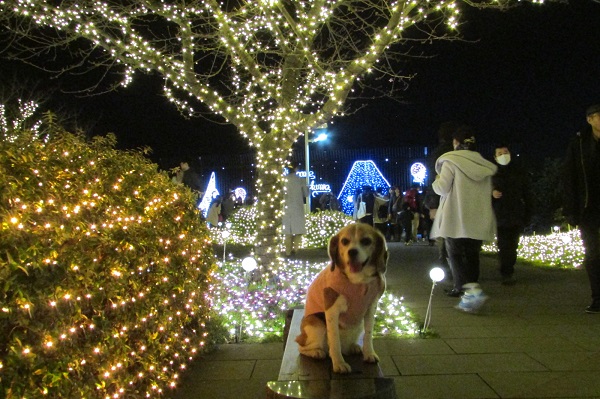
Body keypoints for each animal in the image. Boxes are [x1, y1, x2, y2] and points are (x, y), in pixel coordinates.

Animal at [296, 223, 390, 374]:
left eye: (366, 241)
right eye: (344, 241)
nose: (352, 252)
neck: (359, 281)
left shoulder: (371, 308)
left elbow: (368, 335)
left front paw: (369, 353)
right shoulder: (332, 311)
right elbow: (334, 340)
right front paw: (339, 363)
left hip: (358, 325)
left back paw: (353, 347)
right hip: (317, 325)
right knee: (302, 347)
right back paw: (316, 352)